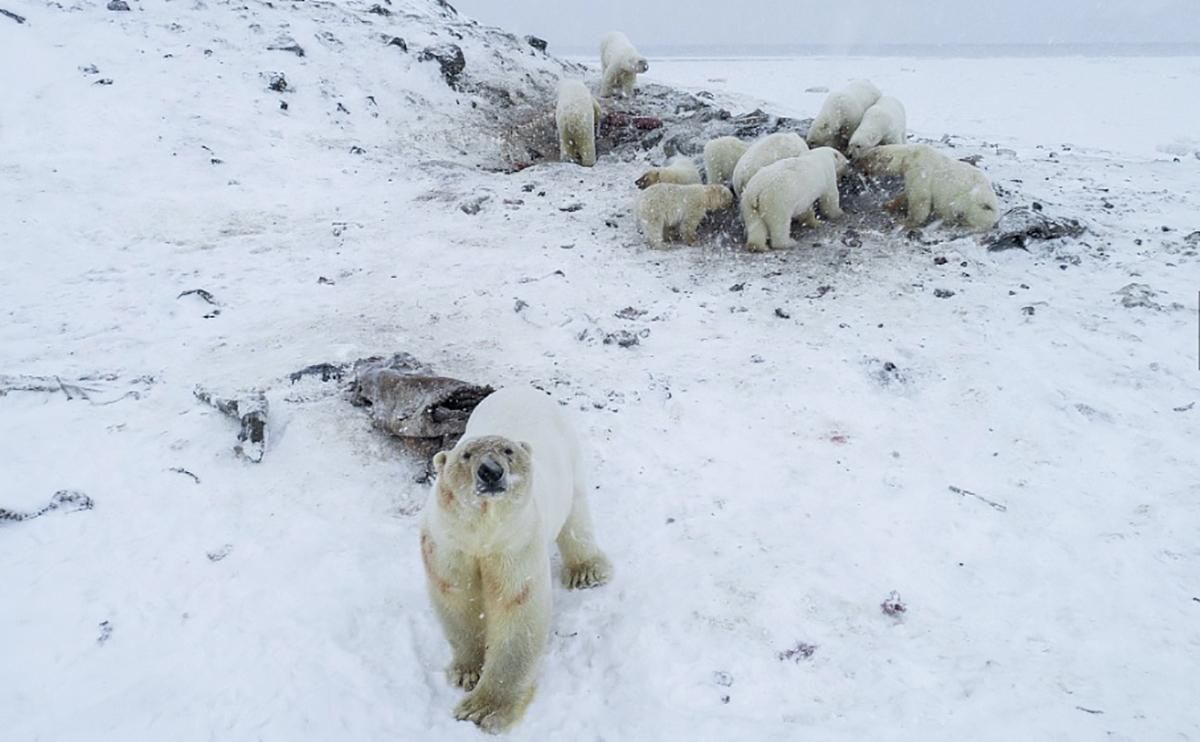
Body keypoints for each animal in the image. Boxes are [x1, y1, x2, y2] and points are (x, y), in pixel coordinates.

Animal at [422, 384, 614, 729]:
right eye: (466, 455)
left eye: (508, 451)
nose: (491, 471)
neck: (482, 533)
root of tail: (521, 388)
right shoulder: (448, 545)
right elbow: (457, 598)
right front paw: (467, 673)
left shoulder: (515, 544)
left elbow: (516, 609)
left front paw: (483, 709)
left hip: (569, 455)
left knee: (576, 512)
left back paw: (586, 571)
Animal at [859, 141, 998, 228]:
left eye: (866, 159)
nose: (857, 162)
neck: (910, 156)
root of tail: (994, 208)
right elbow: (906, 192)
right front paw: (888, 204)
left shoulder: (920, 170)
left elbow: (919, 198)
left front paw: (906, 221)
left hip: (970, 204)